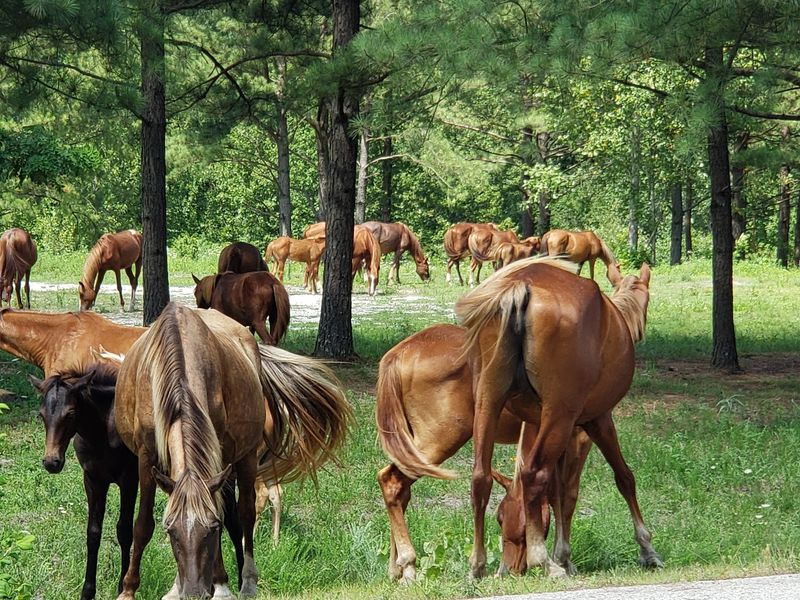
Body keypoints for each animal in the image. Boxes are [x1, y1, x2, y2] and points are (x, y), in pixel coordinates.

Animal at [29, 364, 138, 600]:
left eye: (70, 413)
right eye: (41, 415)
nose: (51, 462)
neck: (104, 433)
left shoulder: (130, 480)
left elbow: (125, 531)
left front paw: (122, 588)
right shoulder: (93, 480)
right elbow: (93, 533)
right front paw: (87, 591)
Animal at [114, 304, 350, 599]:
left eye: (212, 528)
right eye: (170, 530)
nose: (194, 592)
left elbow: (226, 514)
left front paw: (221, 584)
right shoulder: (147, 457)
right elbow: (143, 523)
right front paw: (130, 589)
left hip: (245, 458)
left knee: (246, 513)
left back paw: (245, 582)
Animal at [454, 257, 660, 578]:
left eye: (502, 518)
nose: (509, 569)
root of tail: (520, 286)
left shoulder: (544, 425)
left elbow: (557, 491)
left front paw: (563, 554)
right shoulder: (593, 423)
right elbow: (619, 478)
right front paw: (646, 548)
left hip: (489, 401)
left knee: (480, 478)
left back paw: (477, 565)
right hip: (560, 416)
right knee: (533, 473)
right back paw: (543, 561)